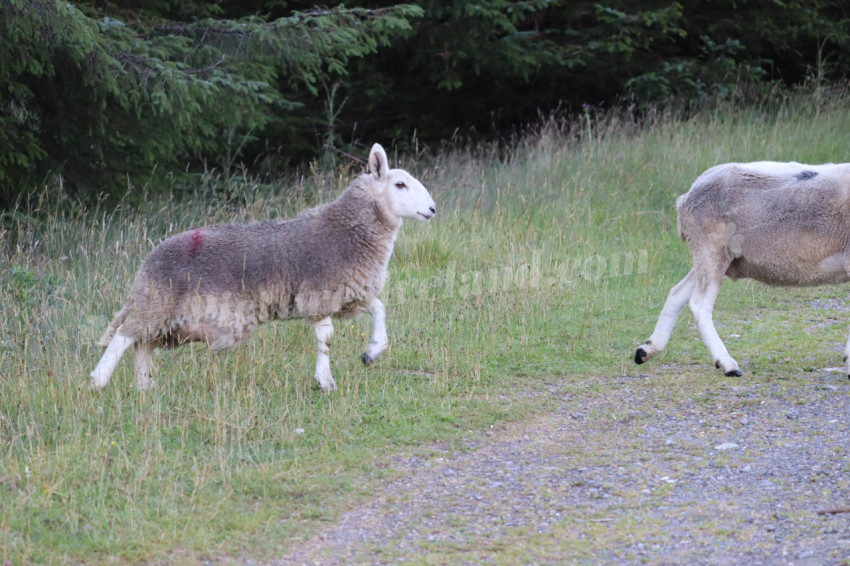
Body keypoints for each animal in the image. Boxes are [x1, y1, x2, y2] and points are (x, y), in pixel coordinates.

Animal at [90, 143, 436, 392]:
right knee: (123, 335)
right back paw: (98, 381)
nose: (432, 208)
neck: (348, 230)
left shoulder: (350, 293)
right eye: (400, 184)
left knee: (142, 344)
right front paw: (325, 382)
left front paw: (372, 352)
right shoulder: (319, 295)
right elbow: (326, 339)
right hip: (156, 301)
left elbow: (380, 309)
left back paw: (144, 387)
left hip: (165, 315)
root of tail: (150, 257)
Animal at [635, 160, 850, 378]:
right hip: (712, 250)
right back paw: (728, 365)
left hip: (710, 257)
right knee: (698, 304)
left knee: (676, 294)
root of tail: (687, 197)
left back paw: (646, 350)